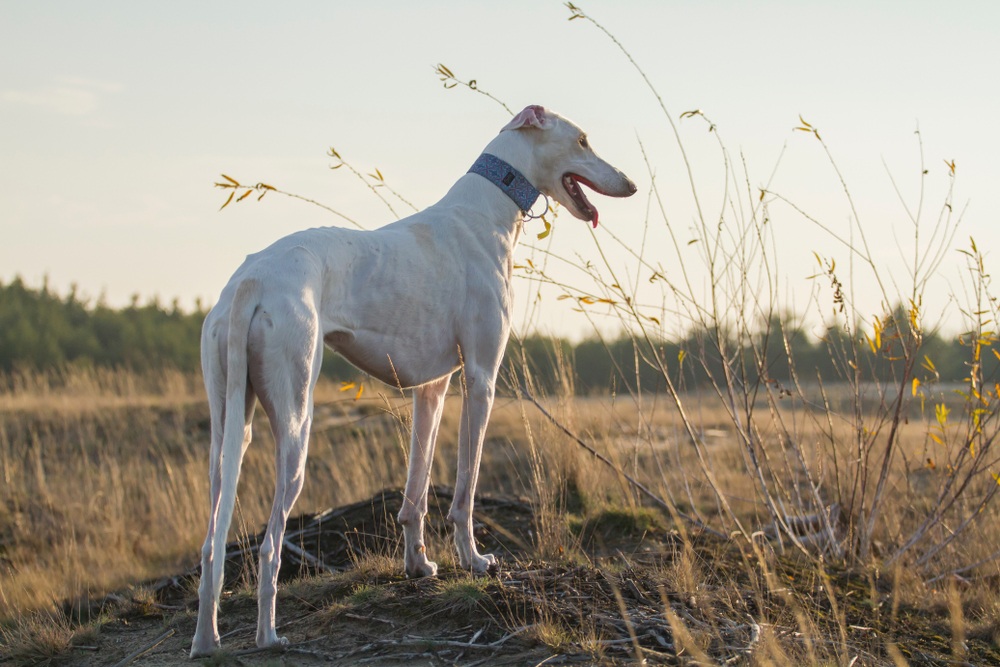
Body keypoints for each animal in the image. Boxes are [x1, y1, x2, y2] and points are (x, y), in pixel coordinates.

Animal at [191, 105, 636, 656]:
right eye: (582, 141)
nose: (632, 184)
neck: (486, 210)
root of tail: (250, 280)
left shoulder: (432, 387)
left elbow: (416, 492)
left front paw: (419, 565)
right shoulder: (481, 379)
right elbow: (465, 490)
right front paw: (474, 561)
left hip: (228, 427)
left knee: (211, 543)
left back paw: (206, 641)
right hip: (295, 422)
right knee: (271, 543)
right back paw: (268, 634)